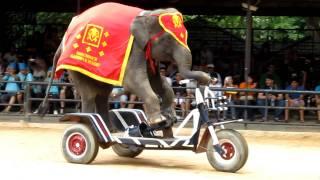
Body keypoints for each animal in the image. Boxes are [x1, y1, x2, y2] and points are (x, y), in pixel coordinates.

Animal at [39, 2, 210, 137]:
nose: (209, 78)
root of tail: (64, 37)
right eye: (168, 39)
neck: (147, 14)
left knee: (102, 94)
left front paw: (171, 118)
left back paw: (111, 131)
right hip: (75, 67)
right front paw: (159, 121)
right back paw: (89, 123)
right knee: (89, 94)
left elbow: (157, 81)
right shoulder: (135, 48)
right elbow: (134, 81)